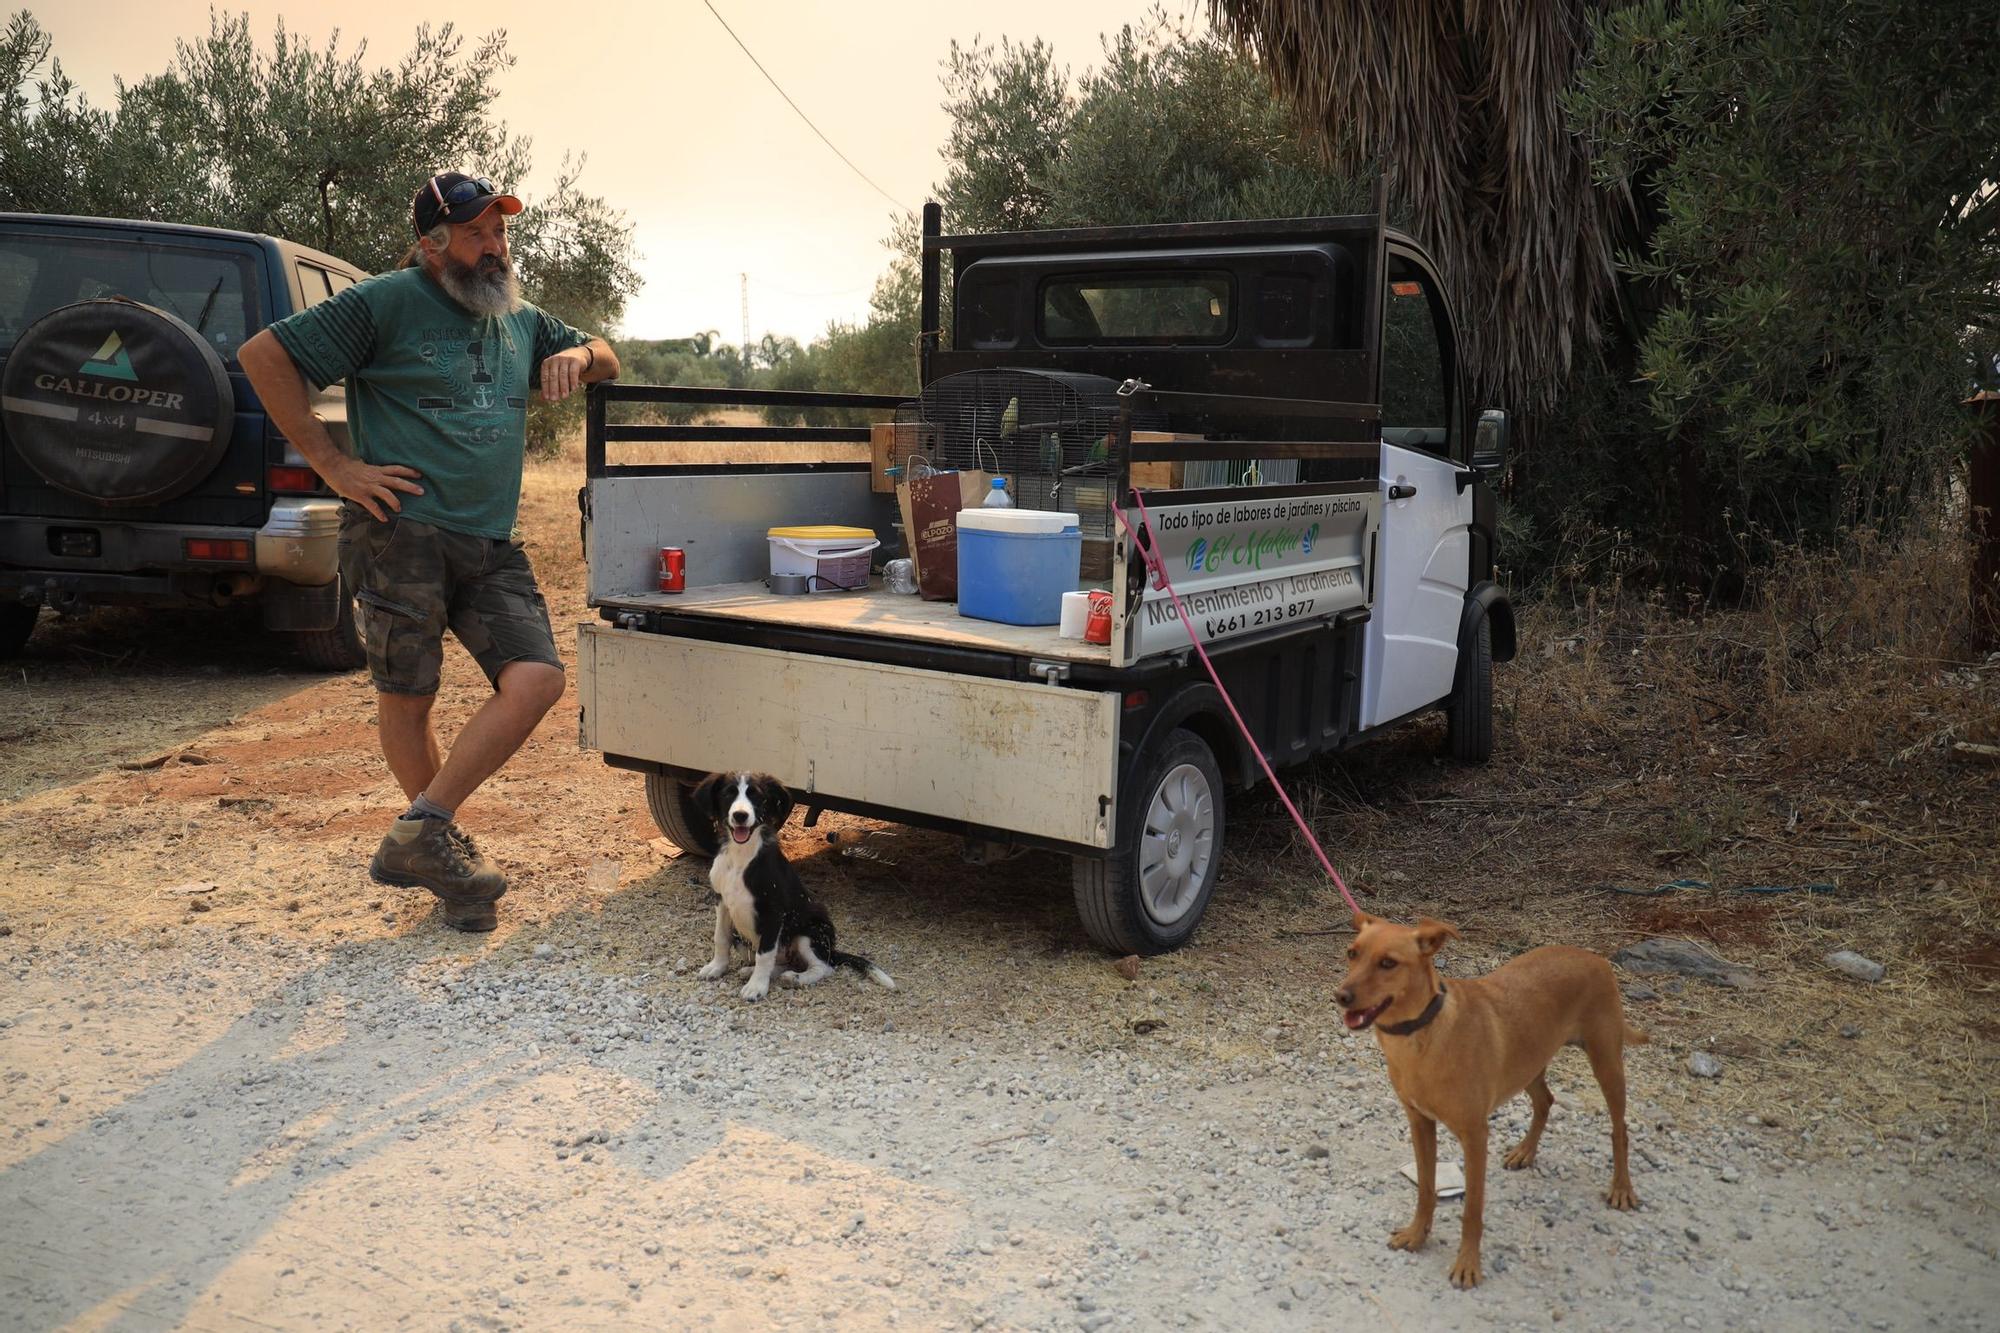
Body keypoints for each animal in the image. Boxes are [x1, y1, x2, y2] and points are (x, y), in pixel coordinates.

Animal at [696, 768, 900, 996]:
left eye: (756, 796)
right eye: (728, 794)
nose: (740, 815)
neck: (742, 856)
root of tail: (831, 950)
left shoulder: (773, 912)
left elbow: (764, 953)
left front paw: (756, 987)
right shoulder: (722, 901)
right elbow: (721, 938)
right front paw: (717, 967)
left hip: (809, 933)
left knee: (824, 967)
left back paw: (796, 978)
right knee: (780, 962)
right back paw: (755, 971)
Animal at [1336, 908, 1648, 1280]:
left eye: (1387, 963)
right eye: (1352, 953)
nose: (1340, 996)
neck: (1422, 1037)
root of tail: (1594, 956)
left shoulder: (1475, 1136)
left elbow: (1472, 1209)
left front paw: (1468, 1264)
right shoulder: (1420, 1123)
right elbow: (1426, 1189)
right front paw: (1417, 1234)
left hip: (1606, 1063)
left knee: (1620, 1128)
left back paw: (1622, 1188)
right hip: (1528, 1062)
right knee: (1546, 1101)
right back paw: (1525, 1152)